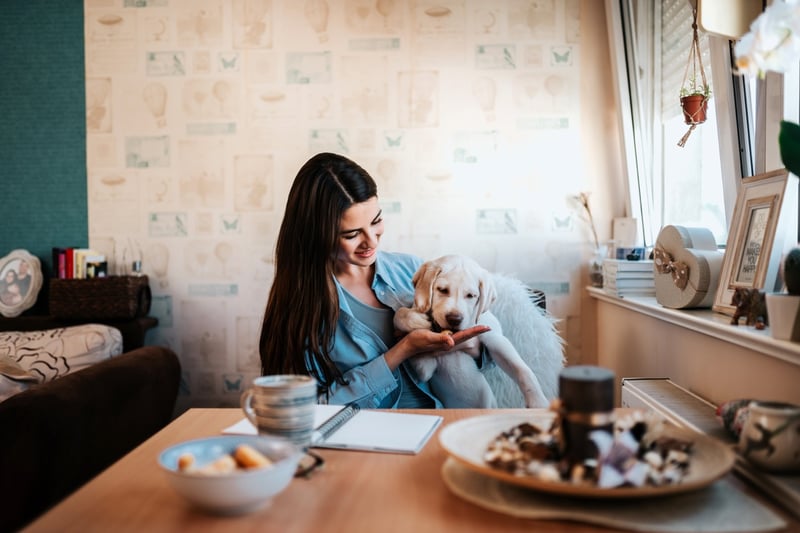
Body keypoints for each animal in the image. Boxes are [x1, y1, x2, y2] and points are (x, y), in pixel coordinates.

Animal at [394, 254, 564, 408]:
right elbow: (401, 314)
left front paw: (538, 401)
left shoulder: (496, 340)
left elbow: (522, 369)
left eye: (471, 295)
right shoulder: (425, 370)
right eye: (442, 290)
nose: (454, 319)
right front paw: (412, 320)